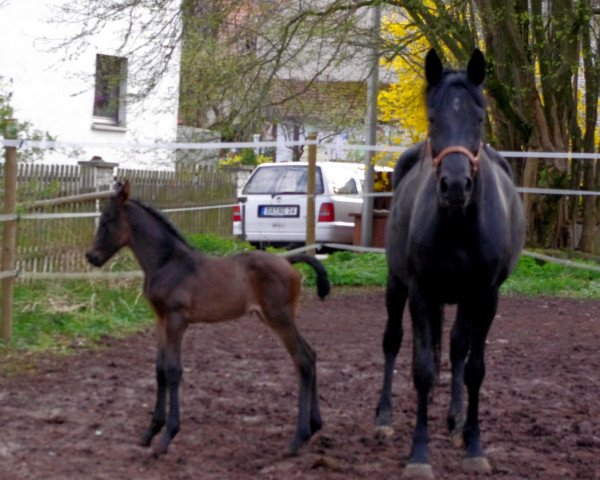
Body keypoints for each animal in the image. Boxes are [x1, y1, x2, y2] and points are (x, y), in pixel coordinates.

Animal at [376, 49, 524, 480]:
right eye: (432, 119)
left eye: (479, 119)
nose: (455, 186)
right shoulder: (421, 292)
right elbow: (423, 369)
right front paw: (419, 456)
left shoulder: (486, 295)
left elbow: (474, 367)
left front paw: (473, 446)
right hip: (397, 285)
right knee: (393, 341)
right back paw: (384, 417)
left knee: (457, 348)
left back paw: (456, 420)